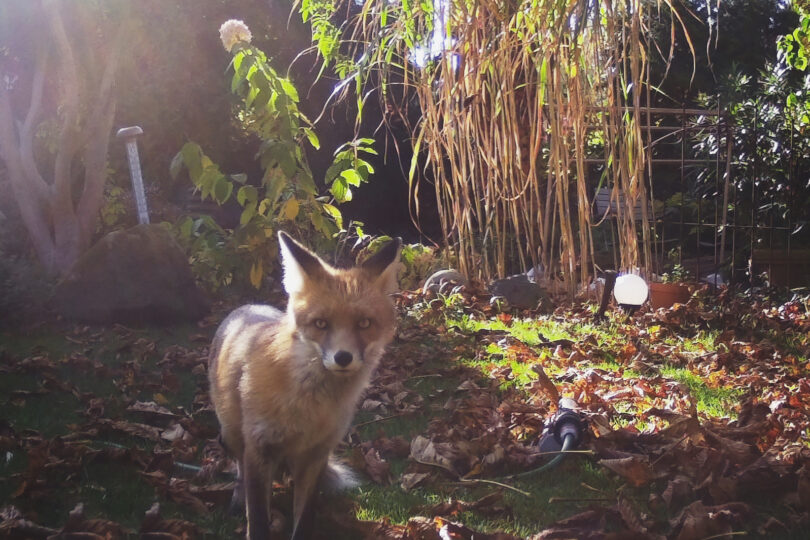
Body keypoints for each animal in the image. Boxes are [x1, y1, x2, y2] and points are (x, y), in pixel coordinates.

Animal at [207, 232, 400, 540]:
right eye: (321, 323)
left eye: (364, 323)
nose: (343, 358)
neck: (308, 407)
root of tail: (248, 306)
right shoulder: (259, 448)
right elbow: (257, 519)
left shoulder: (316, 454)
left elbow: (305, 519)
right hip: (231, 432)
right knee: (239, 468)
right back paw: (238, 497)